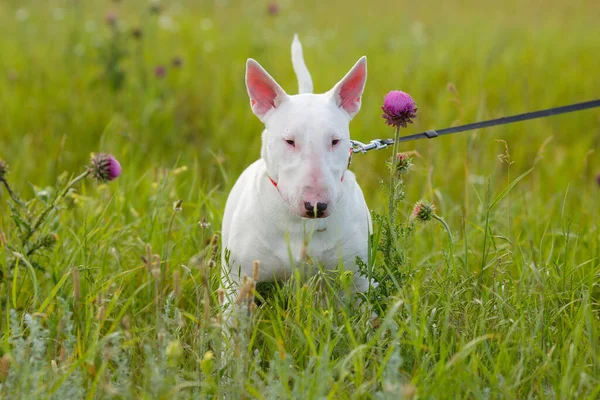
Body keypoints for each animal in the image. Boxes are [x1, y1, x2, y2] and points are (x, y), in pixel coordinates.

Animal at [220, 36, 370, 308]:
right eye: (289, 141)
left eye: (335, 141)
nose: (316, 205)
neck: (301, 226)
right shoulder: (237, 280)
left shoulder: (358, 282)